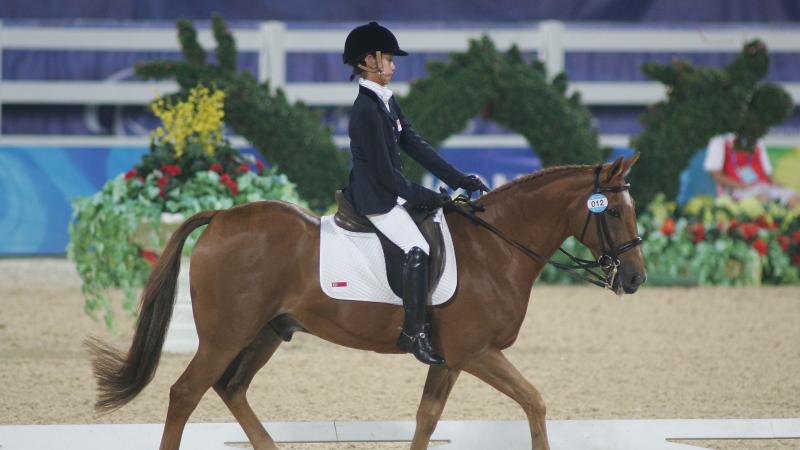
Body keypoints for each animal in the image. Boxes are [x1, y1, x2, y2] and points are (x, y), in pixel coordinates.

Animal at [87, 155, 648, 450]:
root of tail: (222, 216)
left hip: (266, 332)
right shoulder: (476, 353)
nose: (637, 278)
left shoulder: (448, 360)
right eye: (612, 212)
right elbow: (534, 401)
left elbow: (427, 418)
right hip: (225, 335)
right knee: (185, 394)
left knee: (232, 389)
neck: (498, 245)